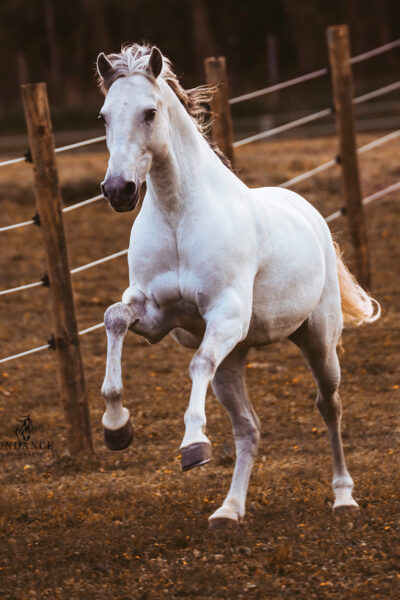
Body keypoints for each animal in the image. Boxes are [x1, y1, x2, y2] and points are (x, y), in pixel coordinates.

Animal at [95, 44, 380, 528]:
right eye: (104, 116)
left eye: (150, 112)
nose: (118, 190)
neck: (179, 216)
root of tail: (310, 214)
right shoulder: (153, 315)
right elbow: (114, 318)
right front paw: (117, 427)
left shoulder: (225, 314)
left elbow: (196, 365)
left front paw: (193, 444)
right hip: (235, 358)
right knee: (248, 428)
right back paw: (229, 510)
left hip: (318, 342)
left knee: (329, 407)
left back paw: (344, 496)